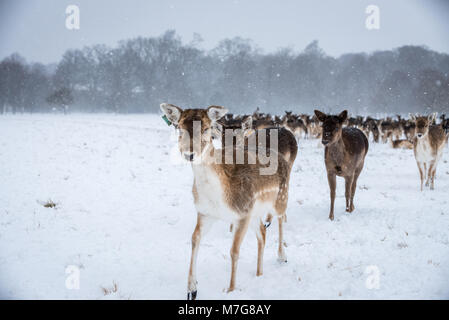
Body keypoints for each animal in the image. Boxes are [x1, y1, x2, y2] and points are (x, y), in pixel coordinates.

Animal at [159, 102, 296, 300]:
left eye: (207, 128)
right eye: (179, 127)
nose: (189, 154)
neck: (220, 196)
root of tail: (280, 156)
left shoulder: (242, 213)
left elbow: (234, 251)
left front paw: (230, 289)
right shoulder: (205, 212)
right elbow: (194, 239)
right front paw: (192, 289)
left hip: (281, 197)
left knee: (280, 218)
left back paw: (282, 256)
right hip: (255, 212)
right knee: (262, 233)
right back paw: (259, 273)